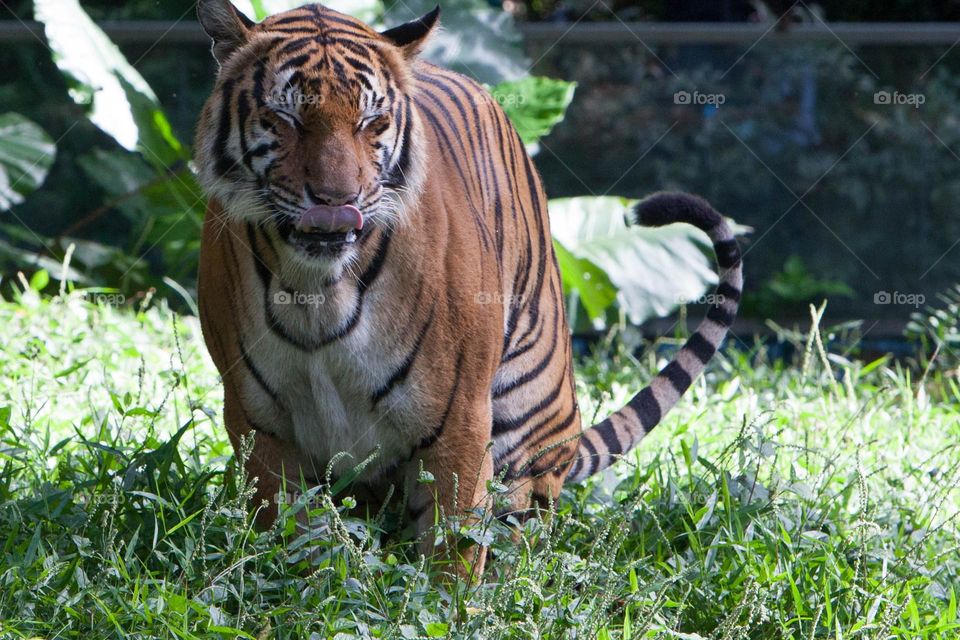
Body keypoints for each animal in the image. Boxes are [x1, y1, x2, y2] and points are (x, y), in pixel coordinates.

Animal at [194, 0, 743, 576]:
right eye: (285, 118)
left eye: (372, 122)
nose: (336, 202)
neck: (319, 288)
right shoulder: (258, 421)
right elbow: (287, 541)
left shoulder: (455, 415)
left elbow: (452, 546)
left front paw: (448, 596)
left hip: (525, 415)